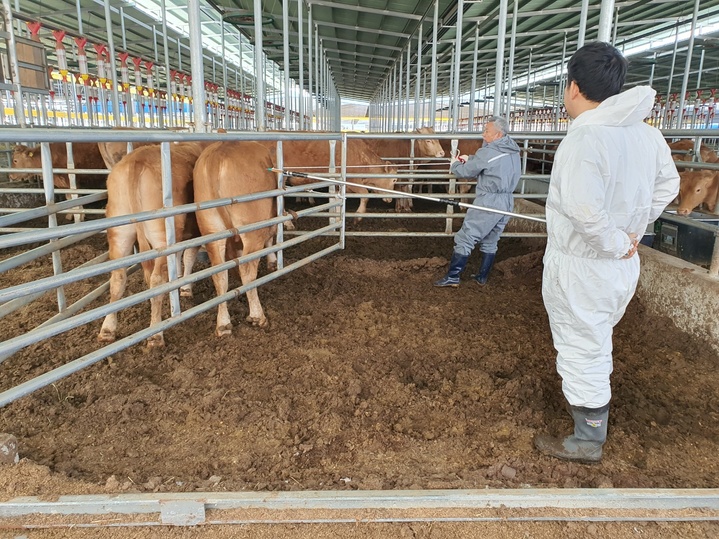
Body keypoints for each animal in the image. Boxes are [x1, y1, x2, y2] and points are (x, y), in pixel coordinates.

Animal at [95, 141, 210, 348]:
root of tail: (135, 160)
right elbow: (188, 257)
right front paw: (186, 288)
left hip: (120, 232)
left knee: (117, 278)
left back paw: (107, 329)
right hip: (161, 236)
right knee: (156, 281)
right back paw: (156, 334)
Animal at [194, 142, 278, 338]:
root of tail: (219, 151)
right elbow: (270, 238)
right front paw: (273, 261)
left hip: (211, 229)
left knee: (219, 275)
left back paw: (223, 324)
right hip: (252, 230)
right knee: (247, 270)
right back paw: (257, 316)